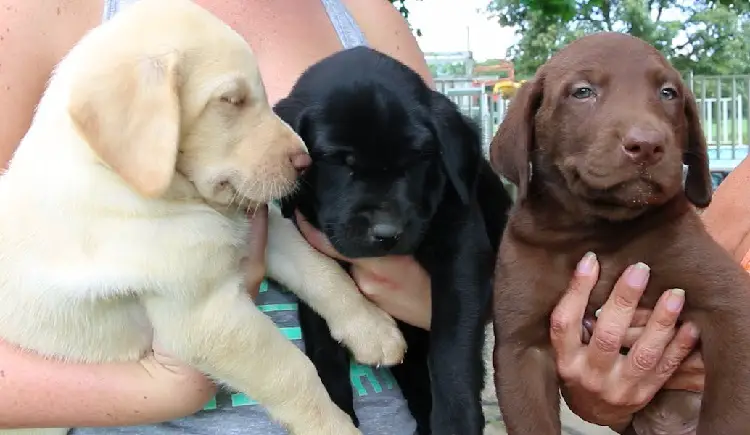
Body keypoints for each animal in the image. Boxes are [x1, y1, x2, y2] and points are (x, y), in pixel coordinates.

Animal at [0, 0, 408, 435]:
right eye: (230, 100)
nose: (304, 163)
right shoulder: (208, 316)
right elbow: (291, 371)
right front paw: (334, 426)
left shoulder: (260, 227)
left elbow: (322, 273)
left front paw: (372, 327)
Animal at [278, 46, 516, 435]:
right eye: (339, 162)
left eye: (417, 159)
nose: (386, 233)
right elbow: (324, 347)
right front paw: (337, 414)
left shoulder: (463, 255)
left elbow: (451, 348)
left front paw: (456, 422)